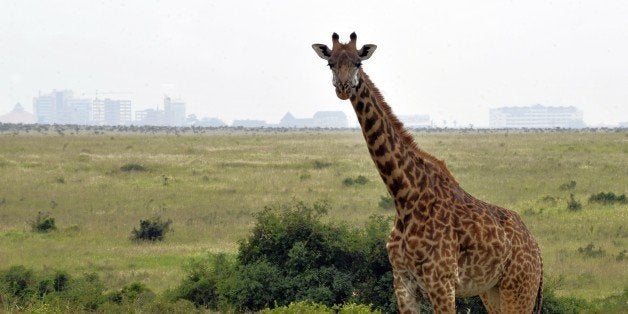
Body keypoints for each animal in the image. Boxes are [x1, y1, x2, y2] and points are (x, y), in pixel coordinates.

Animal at [312, 32, 544, 314]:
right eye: (330, 64)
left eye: (359, 63)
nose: (344, 88)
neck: (404, 197)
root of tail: (537, 250)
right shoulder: (403, 282)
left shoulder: (441, 282)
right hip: (492, 292)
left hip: (519, 288)